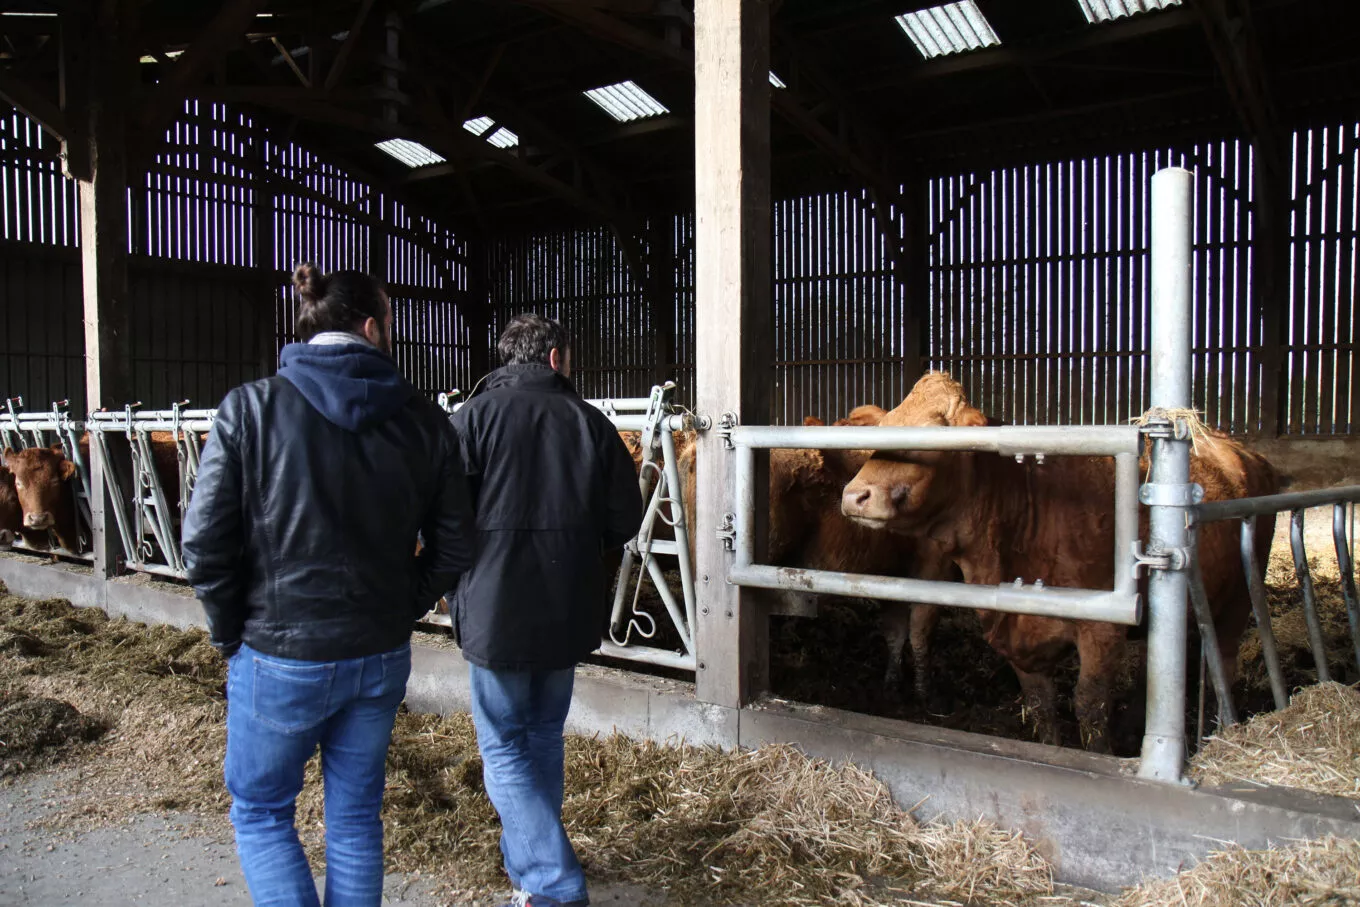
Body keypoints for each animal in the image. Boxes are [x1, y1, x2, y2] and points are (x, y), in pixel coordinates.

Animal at [837, 372, 1272, 756]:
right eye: (881, 430)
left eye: (932, 433)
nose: (855, 496)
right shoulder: (1019, 639)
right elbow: (1042, 706)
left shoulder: (1102, 630)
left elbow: (1090, 706)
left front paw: (1099, 756)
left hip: (1239, 599)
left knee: (1224, 662)